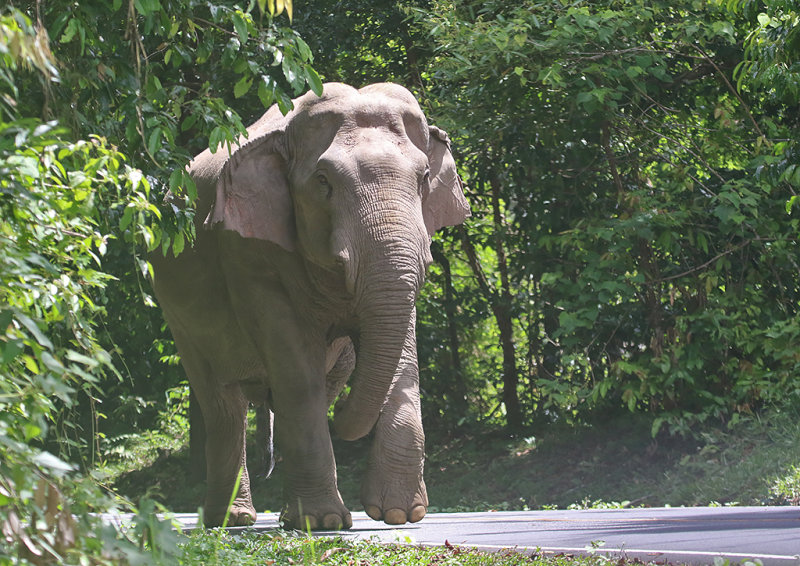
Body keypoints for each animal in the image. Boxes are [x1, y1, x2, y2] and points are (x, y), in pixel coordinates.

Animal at [150, 82, 468, 532]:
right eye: (323, 181)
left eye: (424, 178)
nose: (345, 421)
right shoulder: (248, 251)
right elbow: (297, 370)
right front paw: (323, 522)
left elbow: (402, 355)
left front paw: (400, 514)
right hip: (175, 309)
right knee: (221, 402)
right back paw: (231, 520)